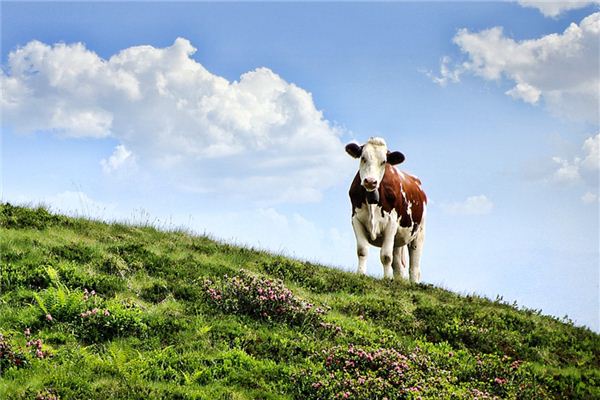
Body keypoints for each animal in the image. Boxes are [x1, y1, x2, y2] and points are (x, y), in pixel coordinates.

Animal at [342, 139, 426, 282]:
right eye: (363, 158)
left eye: (384, 162)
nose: (370, 181)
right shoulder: (356, 219)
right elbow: (362, 250)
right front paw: (361, 273)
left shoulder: (391, 223)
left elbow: (386, 256)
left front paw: (387, 279)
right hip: (398, 240)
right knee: (398, 264)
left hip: (418, 233)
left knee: (414, 266)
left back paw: (414, 282)